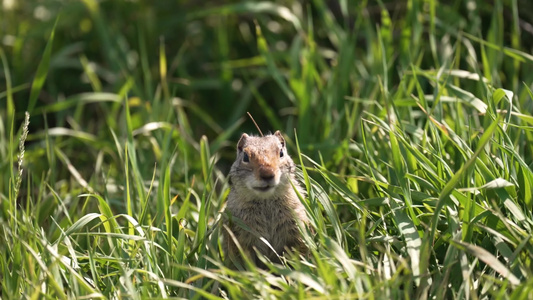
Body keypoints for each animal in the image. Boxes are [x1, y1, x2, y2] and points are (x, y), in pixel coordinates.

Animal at [222, 131, 310, 268]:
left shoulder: (297, 226)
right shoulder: (240, 235)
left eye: (281, 152)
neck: (266, 201)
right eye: (245, 156)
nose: (267, 174)